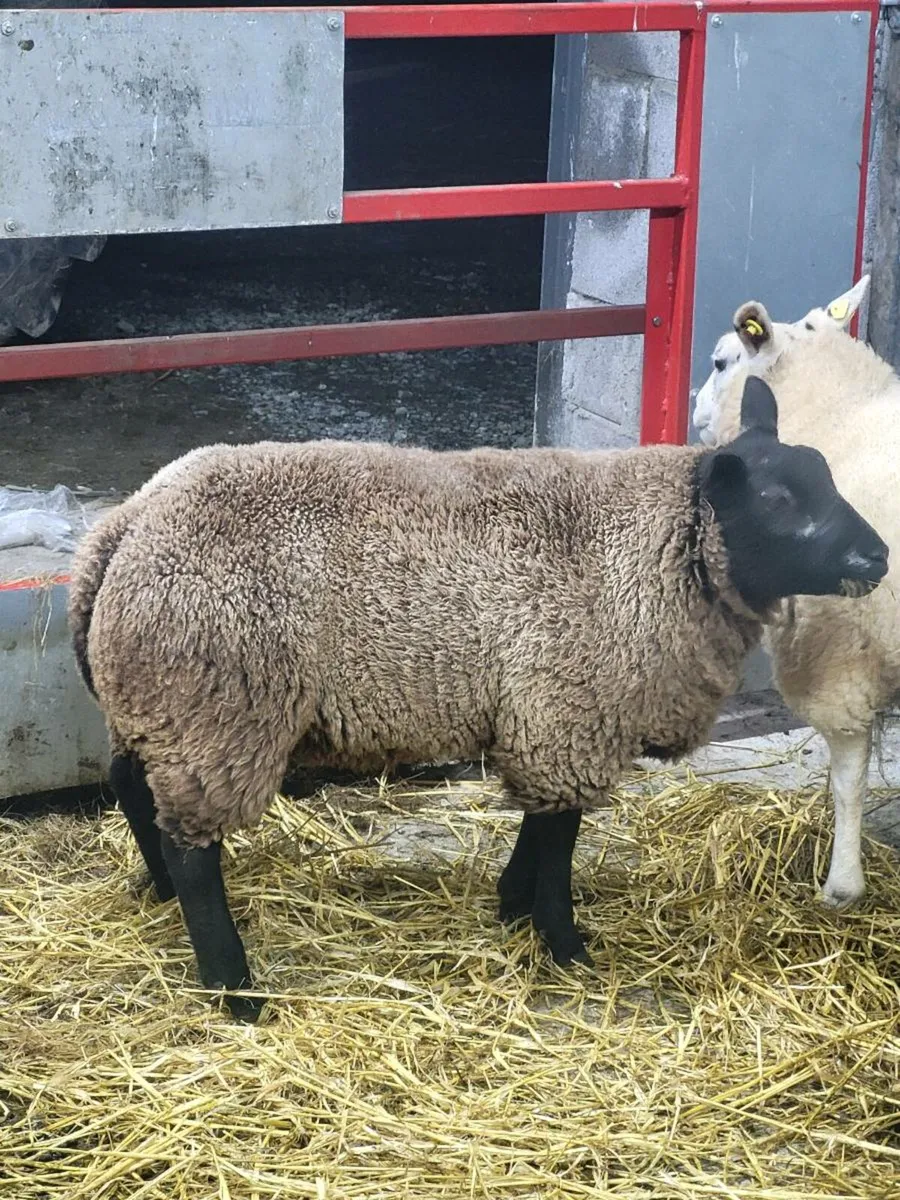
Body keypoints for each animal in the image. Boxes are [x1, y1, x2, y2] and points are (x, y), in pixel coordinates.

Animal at [69, 378, 888, 1022]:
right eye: (779, 499)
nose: (878, 555)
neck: (658, 545)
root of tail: (123, 530)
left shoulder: (546, 716)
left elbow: (544, 823)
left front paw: (512, 905)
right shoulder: (567, 711)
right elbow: (559, 838)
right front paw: (564, 945)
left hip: (159, 706)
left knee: (132, 788)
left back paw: (161, 894)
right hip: (218, 710)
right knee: (192, 846)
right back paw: (234, 987)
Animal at [691, 275, 900, 911]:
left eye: (721, 361)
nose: (694, 408)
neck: (840, 413)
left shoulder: (839, 653)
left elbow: (848, 776)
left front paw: (843, 885)